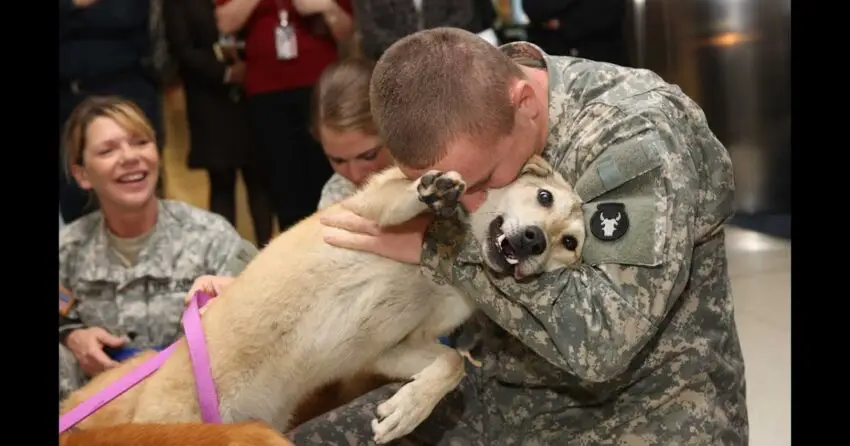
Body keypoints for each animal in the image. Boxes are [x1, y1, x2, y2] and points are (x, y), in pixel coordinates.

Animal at [61, 155, 584, 444]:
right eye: (542, 196)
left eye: (571, 243)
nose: (535, 241)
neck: (449, 261)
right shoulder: (364, 211)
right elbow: (400, 198)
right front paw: (432, 192)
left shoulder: (389, 350)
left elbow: (451, 363)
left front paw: (407, 409)